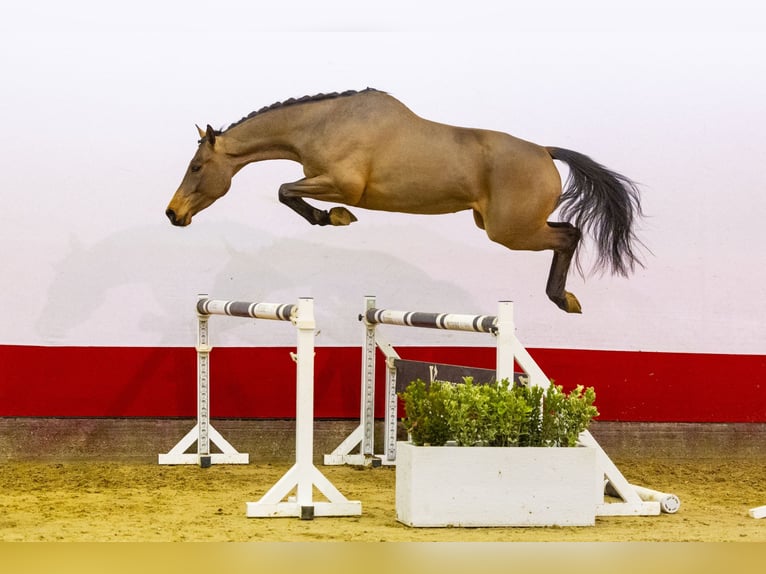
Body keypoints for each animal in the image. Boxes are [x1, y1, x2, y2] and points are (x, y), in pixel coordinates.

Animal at [165, 88, 644, 316]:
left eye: (196, 166)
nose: (173, 213)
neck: (323, 124)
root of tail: (545, 151)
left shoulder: (340, 184)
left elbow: (287, 190)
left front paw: (335, 218)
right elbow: (288, 191)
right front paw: (331, 218)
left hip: (511, 231)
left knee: (569, 236)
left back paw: (562, 298)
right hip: (503, 226)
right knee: (568, 232)